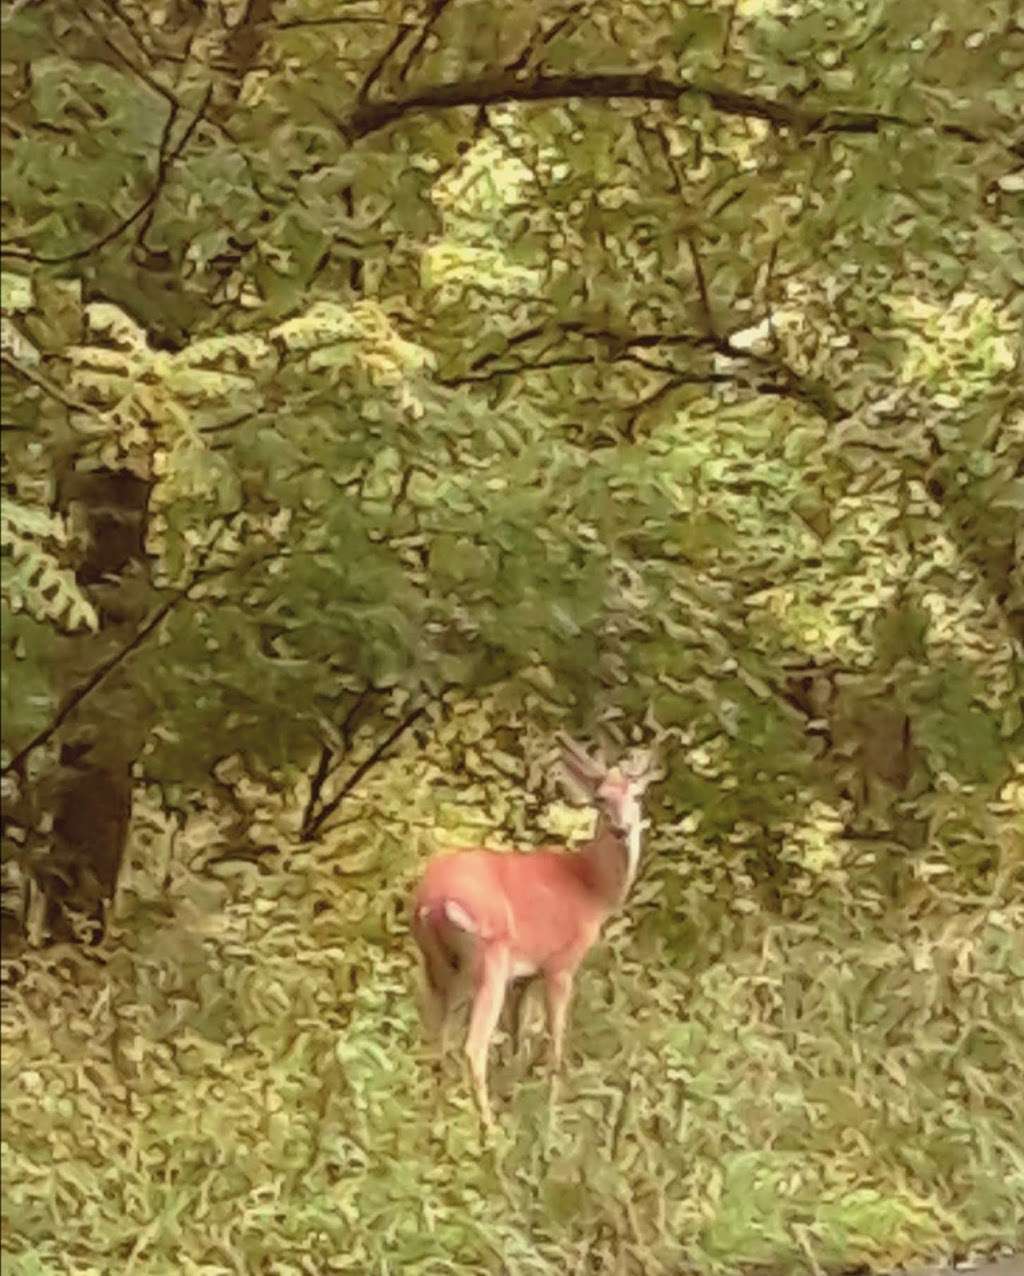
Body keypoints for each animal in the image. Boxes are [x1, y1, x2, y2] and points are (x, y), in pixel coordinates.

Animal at [408, 734, 658, 1133]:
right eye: (601, 798)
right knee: (472, 1047)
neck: (591, 889)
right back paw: (489, 1132)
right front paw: (550, 1118)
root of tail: (433, 900)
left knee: (436, 1041)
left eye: (636, 796)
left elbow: (516, 1038)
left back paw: (437, 1122)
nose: (622, 829)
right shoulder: (560, 964)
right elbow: (554, 1042)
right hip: (489, 958)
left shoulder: (524, 977)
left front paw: (518, 1096)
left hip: (438, 966)